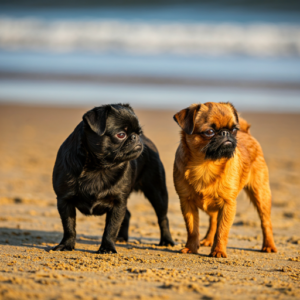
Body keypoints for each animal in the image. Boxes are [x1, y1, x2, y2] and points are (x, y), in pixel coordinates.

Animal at [51, 103, 173, 253]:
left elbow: (111, 228)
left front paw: (107, 247)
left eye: (139, 133)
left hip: (157, 192)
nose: (135, 137)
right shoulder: (64, 200)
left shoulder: (118, 202)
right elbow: (69, 226)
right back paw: (121, 238)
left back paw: (166, 241)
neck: (98, 168)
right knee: (127, 215)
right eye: (121, 135)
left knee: (163, 218)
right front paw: (66, 245)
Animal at [172, 102, 278, 256]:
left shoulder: (228, 204)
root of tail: (246, 133)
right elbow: (192, 229)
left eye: (233, 130)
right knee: (213, 220)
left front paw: (218, 251)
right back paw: (208, 240)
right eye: (209, 132)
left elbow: (222, 230)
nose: (225, 132)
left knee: (265, 221)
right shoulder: (187, 202)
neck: (206, 165)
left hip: (261, 194)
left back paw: (269, 245)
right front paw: (191, 248)